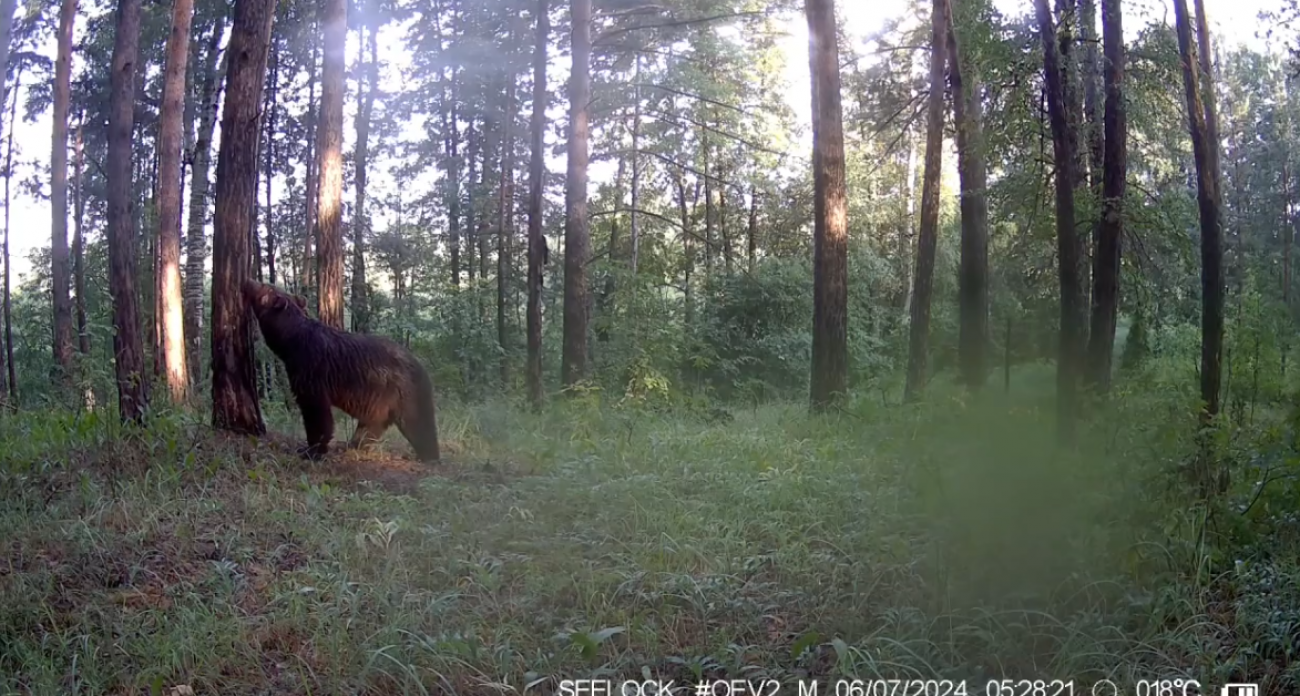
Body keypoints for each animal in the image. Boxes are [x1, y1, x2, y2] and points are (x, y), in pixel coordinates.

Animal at [244, 278, 441, 463]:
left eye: (264, 286)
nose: (248, 280)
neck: (290, 343)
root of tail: (422, 366)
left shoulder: (311, 370)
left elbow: (316, 412)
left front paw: (311, 450)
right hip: (381, 401)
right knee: (371, 426)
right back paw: (352, 445)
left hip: (404, 392)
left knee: (418, 423)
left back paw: (430, 455)